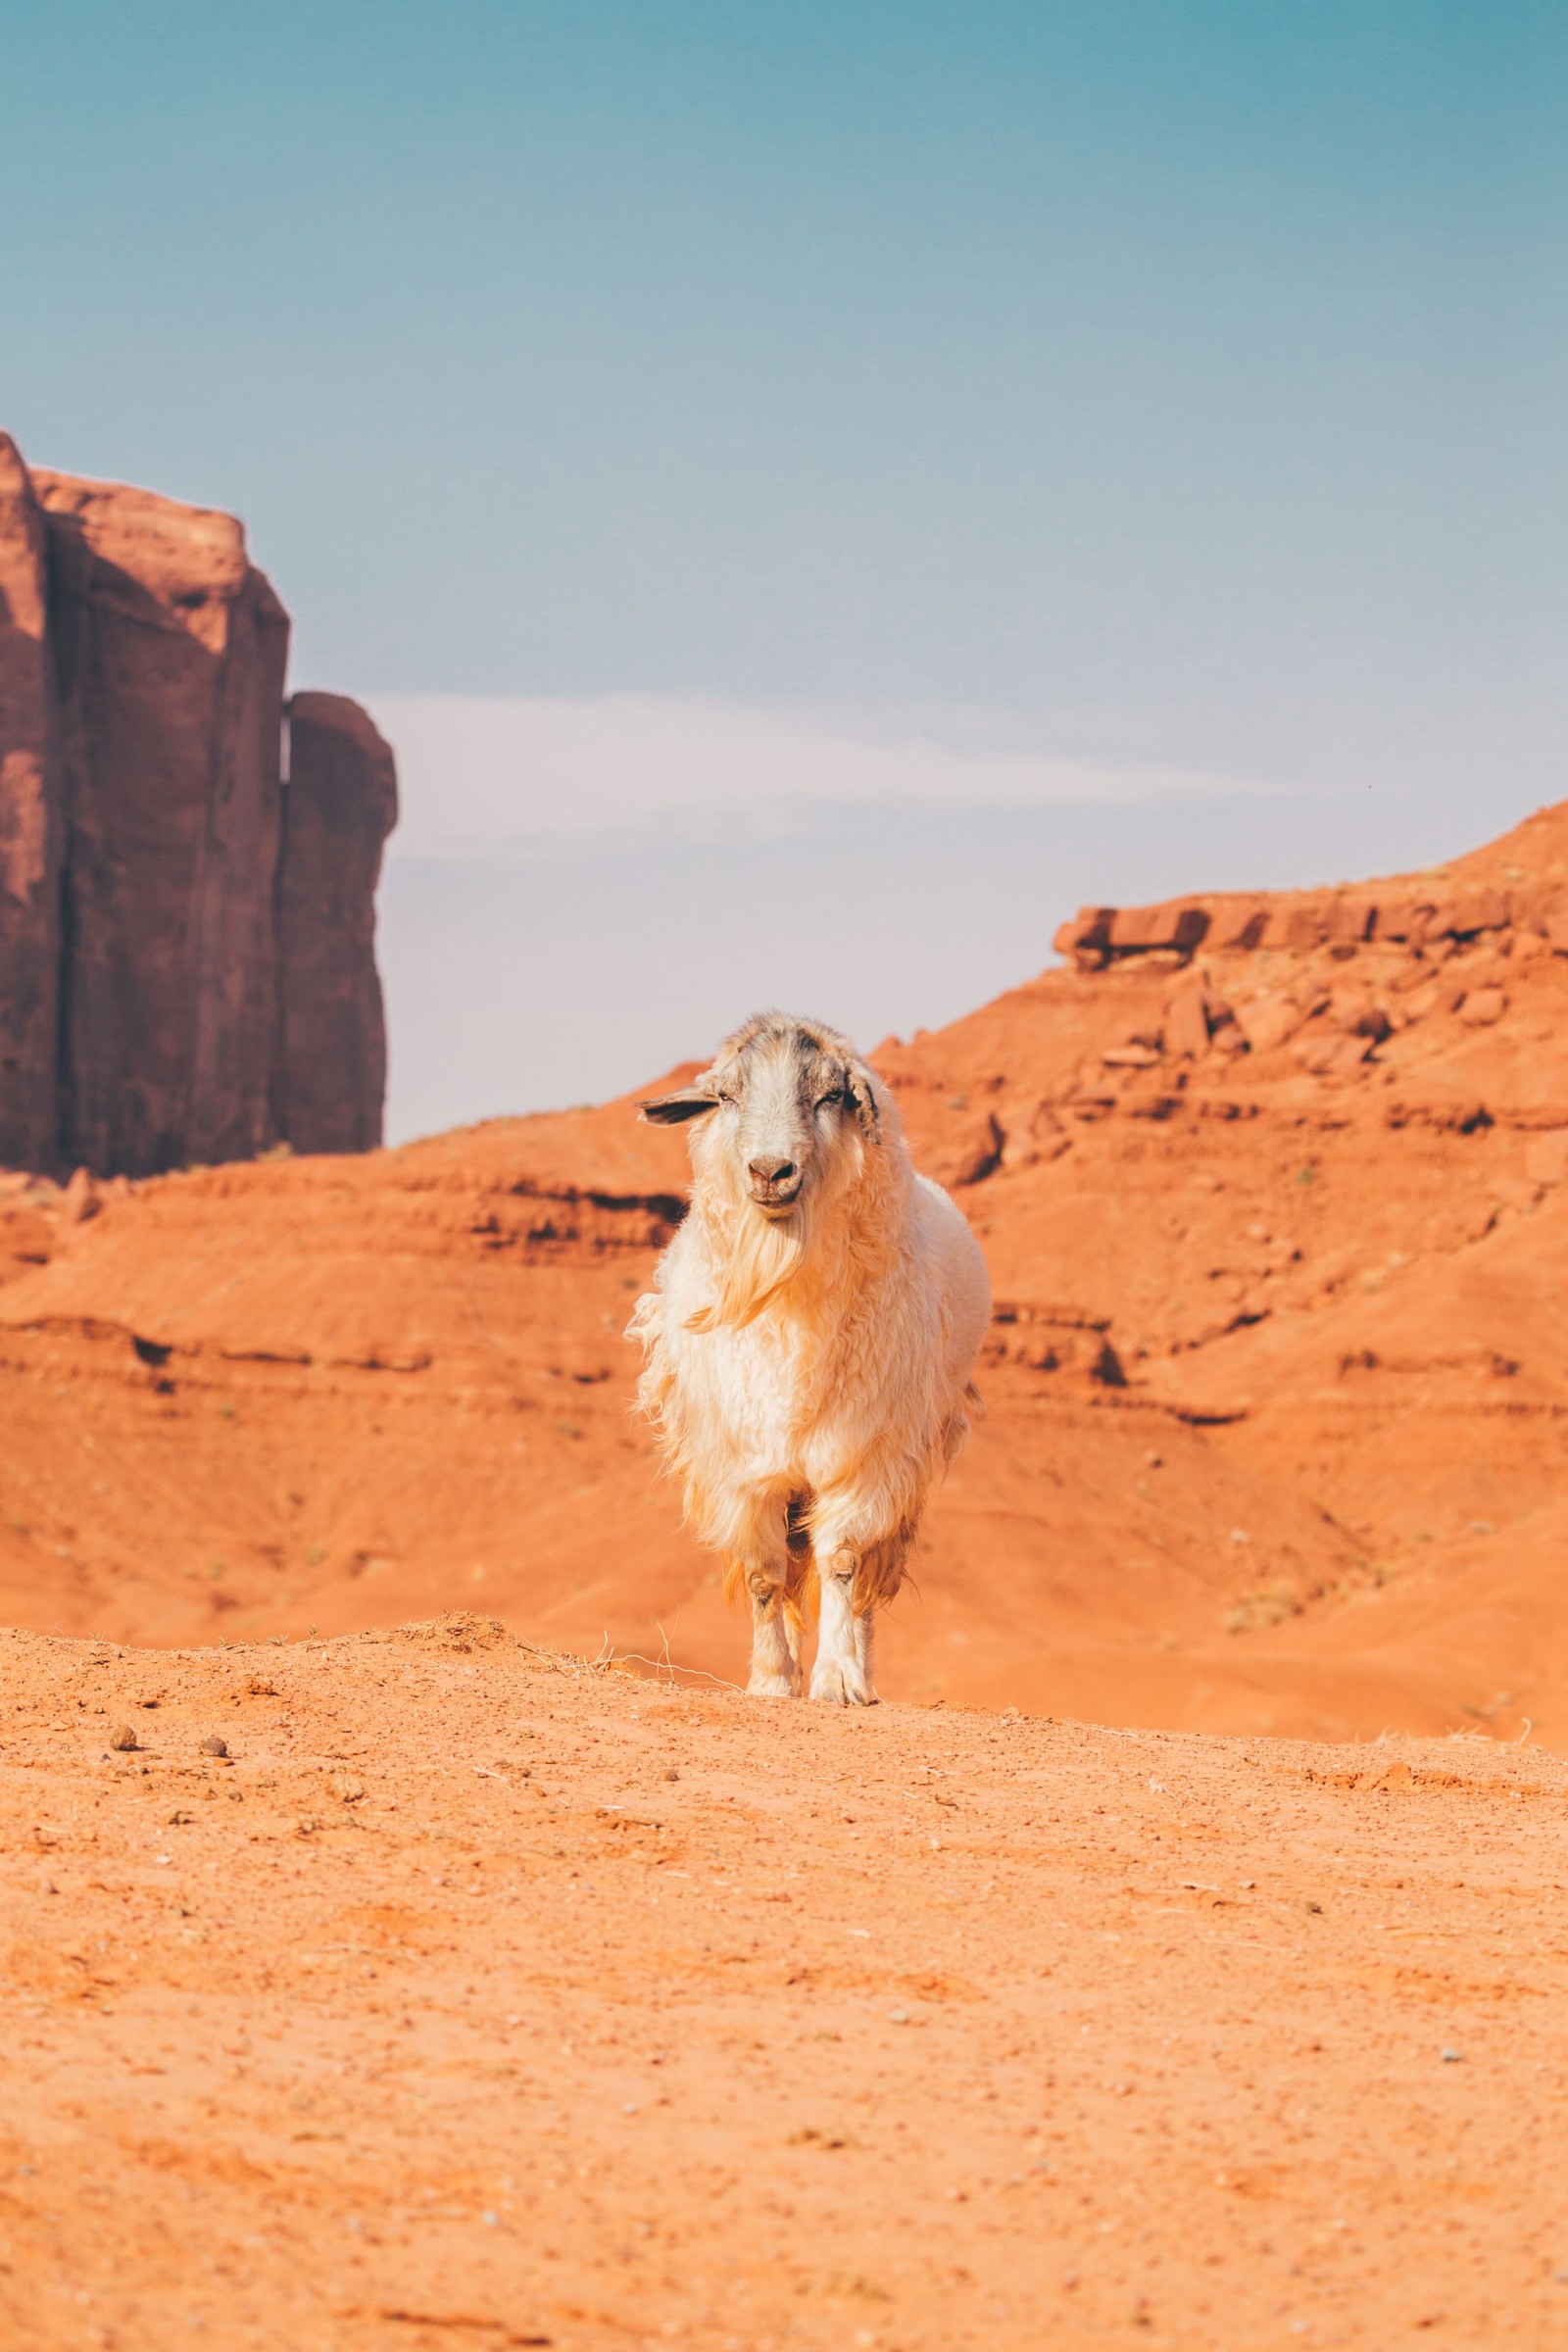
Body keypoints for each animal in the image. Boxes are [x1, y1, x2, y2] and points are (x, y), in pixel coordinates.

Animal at [627, 1012, 991, 1703]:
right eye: (726, 1096)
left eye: (829, 1097)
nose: (771, 1171)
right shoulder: (744, 1470)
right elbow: (764, 1576)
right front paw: (772, 1680)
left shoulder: (864, 1457)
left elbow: (843, 1561)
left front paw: (837, 1680)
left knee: (865, 1579)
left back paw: (860, 1672)